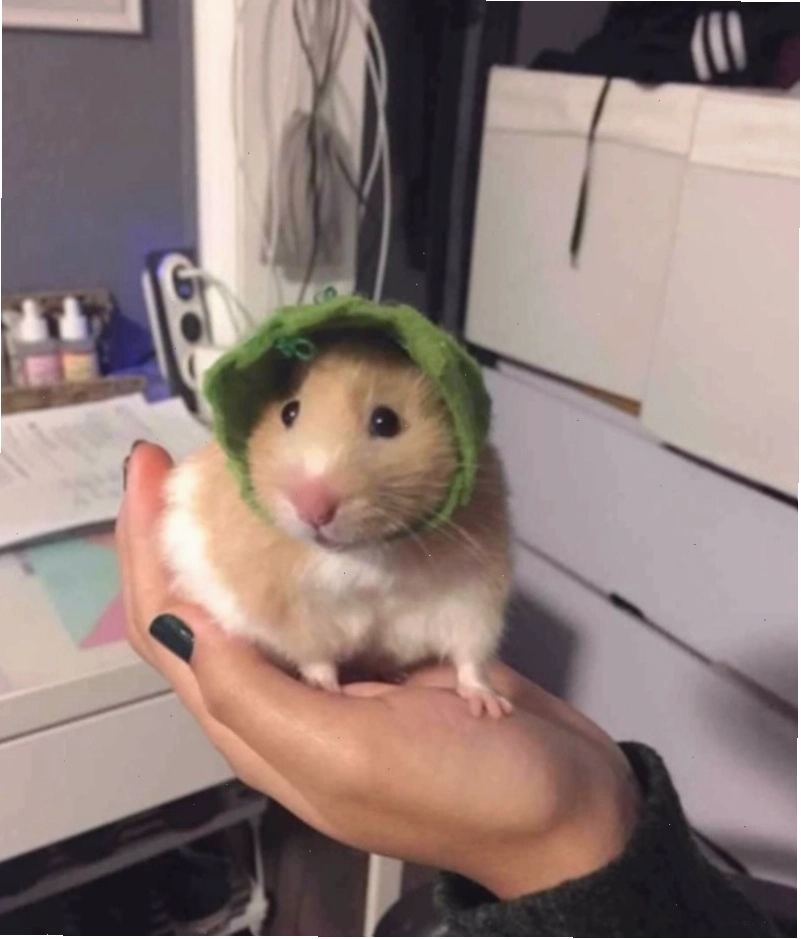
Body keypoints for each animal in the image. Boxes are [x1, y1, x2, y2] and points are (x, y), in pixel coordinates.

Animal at [160, 332, 513, 717]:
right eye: (288, 412)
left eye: (386, 421)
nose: (312, 509)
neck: (364, 555)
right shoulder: (292, 610)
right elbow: (315, 655)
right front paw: (323, 688)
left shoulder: (473, 596)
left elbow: (471, 658)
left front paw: (490, 707)